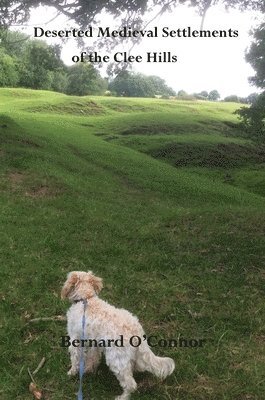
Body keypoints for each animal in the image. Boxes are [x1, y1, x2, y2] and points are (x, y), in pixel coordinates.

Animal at [60, 270, 174, 398]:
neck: (86, 298)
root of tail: (136, 331)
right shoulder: (94, 342)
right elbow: (93, 357)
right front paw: (89, 369)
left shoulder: (75, 340)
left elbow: (75, 359)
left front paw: (71, 372)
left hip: (116, 359)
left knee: (130, 384)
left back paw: (122, 397)